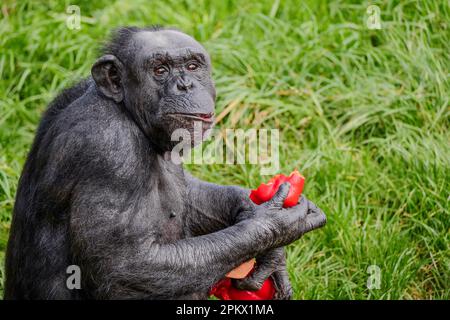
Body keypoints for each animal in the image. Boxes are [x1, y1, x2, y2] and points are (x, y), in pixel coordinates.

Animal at [3, 26, 326, 298]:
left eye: (192, 66)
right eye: (160, 70)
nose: (184, 85)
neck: (129, 114)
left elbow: (191, 195)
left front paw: (271, 251)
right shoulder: (108, 151)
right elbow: (125, 265)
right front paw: (273, 224)